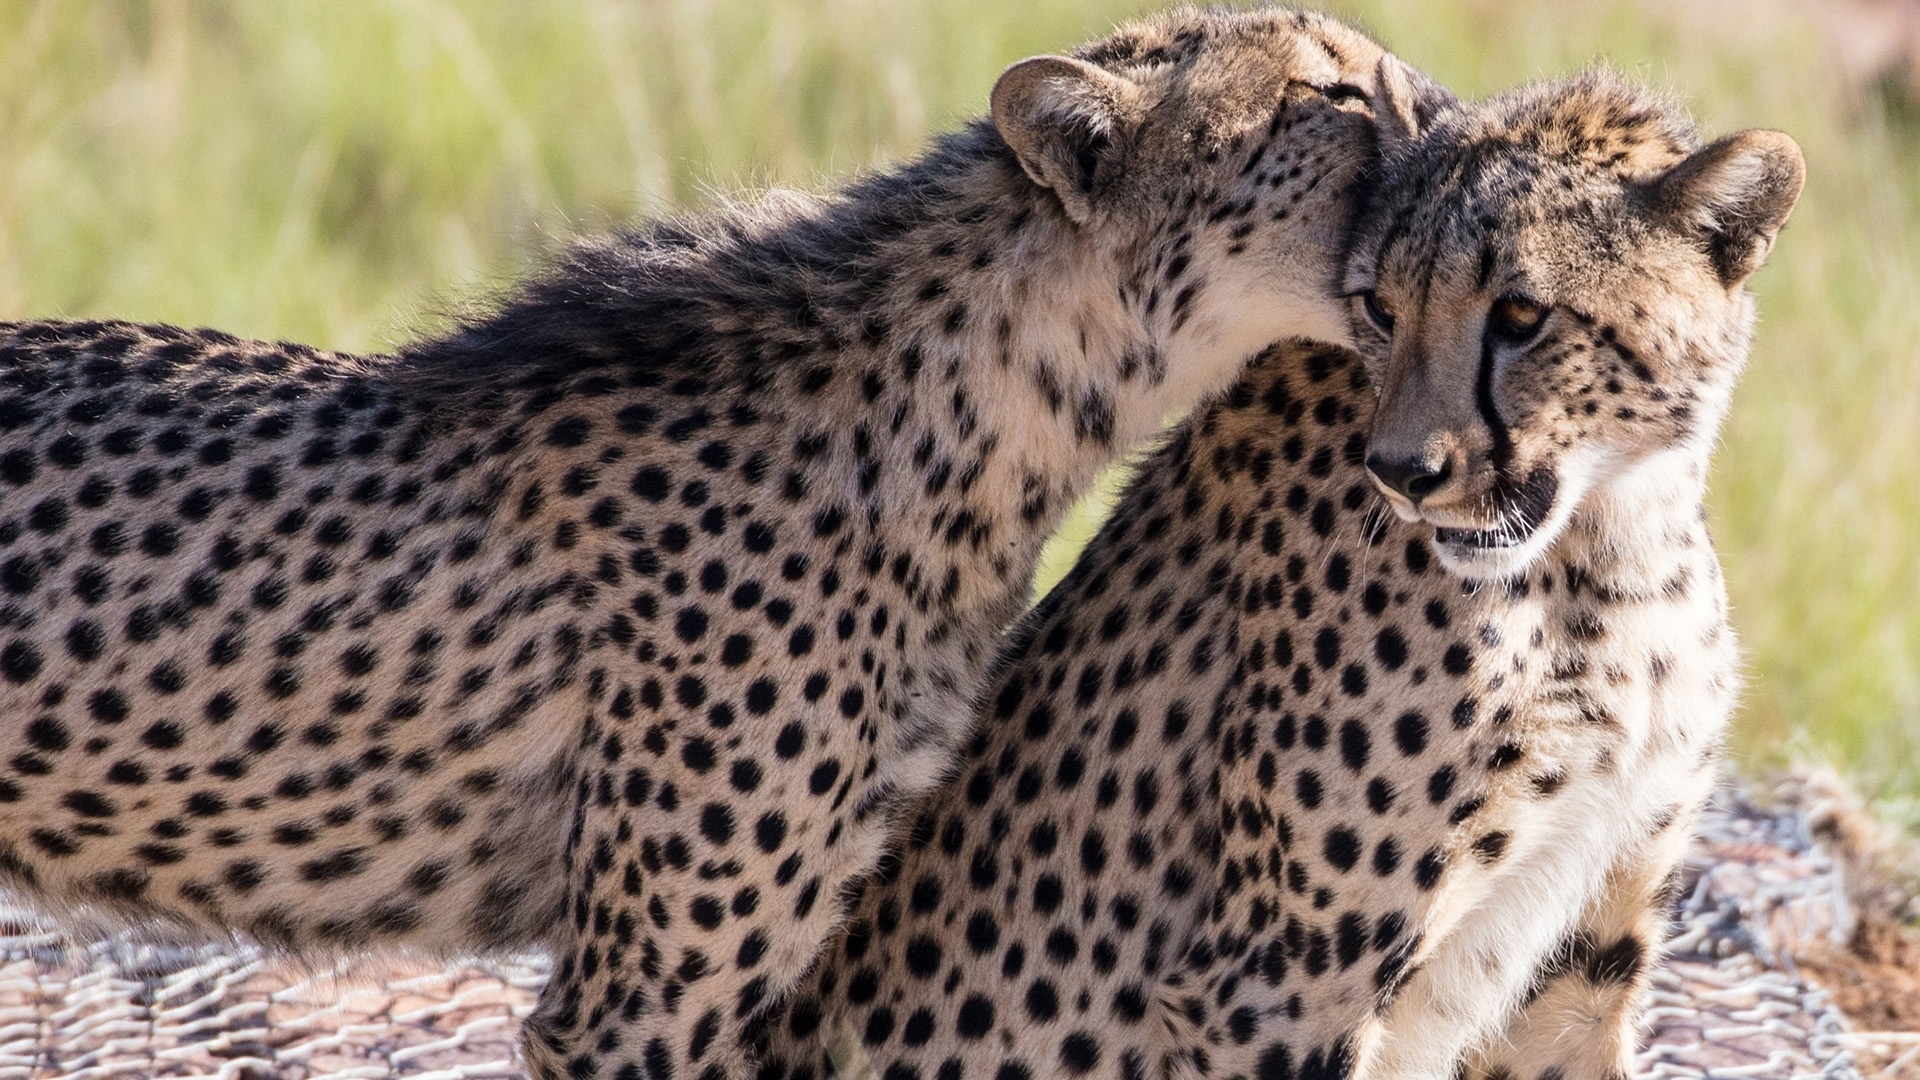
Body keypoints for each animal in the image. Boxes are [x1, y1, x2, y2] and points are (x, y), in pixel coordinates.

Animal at [760, 71, 1797, 1068]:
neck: (1613, 544)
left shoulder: (1586, 954)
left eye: (1521, 313)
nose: (1402, 472)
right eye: (1380, 306)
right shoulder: (1275, 988)